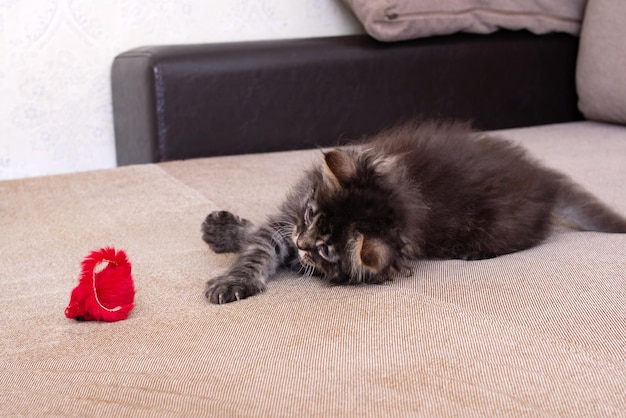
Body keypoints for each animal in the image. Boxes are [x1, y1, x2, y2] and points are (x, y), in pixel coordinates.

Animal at [200, 120, 624, 304]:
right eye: (308, 214)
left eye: (325, 250)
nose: (303, 243)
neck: (405, 194)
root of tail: (543, 176)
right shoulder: (289, 216)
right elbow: (262, 243)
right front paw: (225, 237)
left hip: (502, 225)